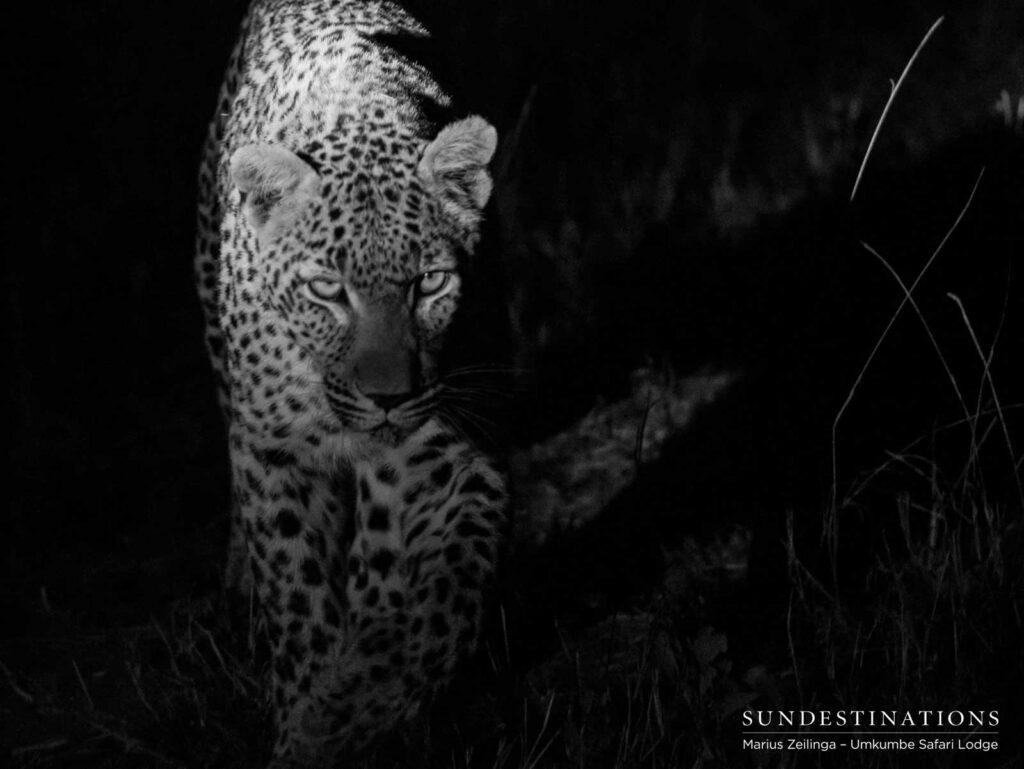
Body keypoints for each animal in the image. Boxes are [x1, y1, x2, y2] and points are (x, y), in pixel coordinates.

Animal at [193, 0, 508, 764]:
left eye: (430, 283)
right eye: (327, 290)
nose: (388, 397)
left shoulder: (435, 451)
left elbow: (430, 587)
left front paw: (364, 695)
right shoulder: (273, 454)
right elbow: (296, 592)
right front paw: (306, 720)